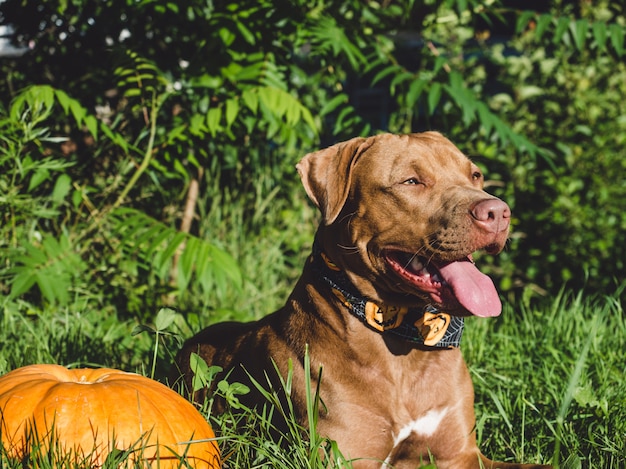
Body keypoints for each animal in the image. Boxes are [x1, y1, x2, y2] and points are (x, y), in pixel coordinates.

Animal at [173, 132, 548, 468]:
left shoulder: (461, 456)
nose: (498, 212)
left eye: (475, 175)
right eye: (411, 181)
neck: (405, 337)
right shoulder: (346, 457)